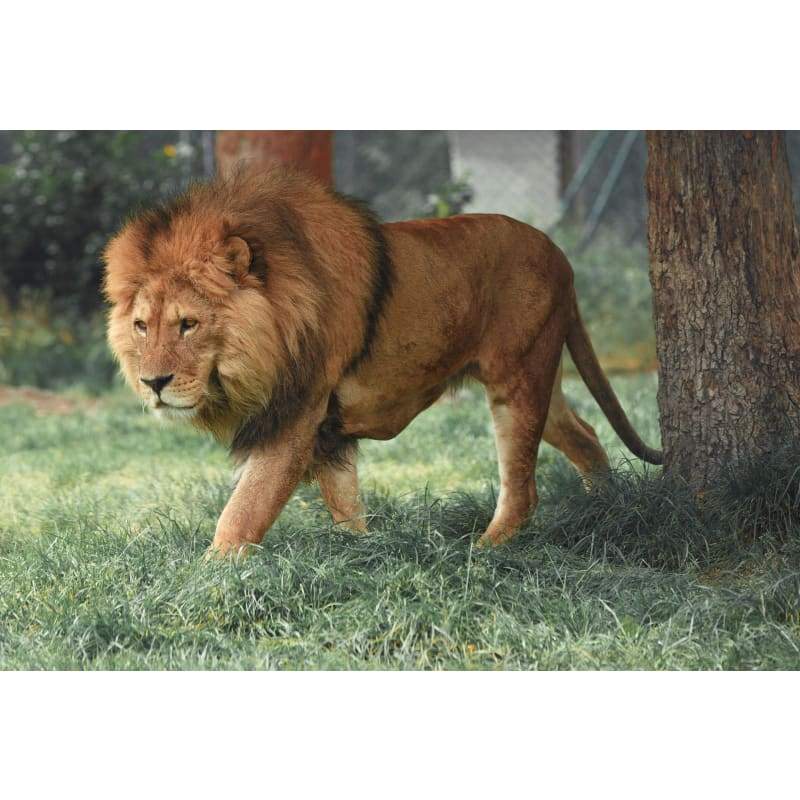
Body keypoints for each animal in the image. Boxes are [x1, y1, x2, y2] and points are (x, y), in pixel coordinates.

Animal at [103, 167, 661, 555]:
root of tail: (560, 255)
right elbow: (344, 502)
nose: (154, 383)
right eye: (141, 326)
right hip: (540, 372)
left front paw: (209, 576)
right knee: (584, 433)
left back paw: (483, 551)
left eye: (188, 324)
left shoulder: (296, 416)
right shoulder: (326, 430)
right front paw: (364, 553)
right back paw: (607, 508)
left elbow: (244, 511)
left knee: (523, 488)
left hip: (517, 377)